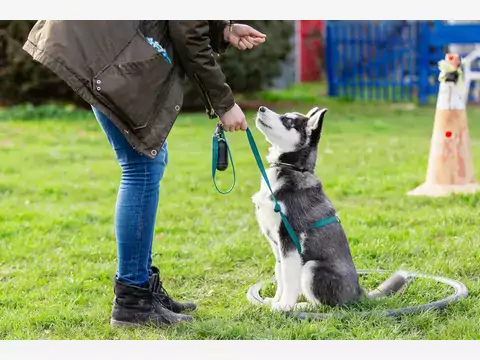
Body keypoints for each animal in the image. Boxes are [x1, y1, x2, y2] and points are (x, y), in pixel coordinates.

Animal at [253, 105, 362, 310]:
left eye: (288, 120)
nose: (261, 108)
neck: (291, 168)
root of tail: (359, 293)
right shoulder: (276, 244)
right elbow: (279, 272)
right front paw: (275, 300)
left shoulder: (290, 238)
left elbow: (288, 277)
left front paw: (284, 305)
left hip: (311, 266)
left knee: (326, 306)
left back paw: (301, 306)